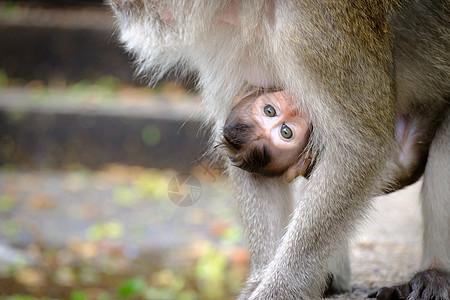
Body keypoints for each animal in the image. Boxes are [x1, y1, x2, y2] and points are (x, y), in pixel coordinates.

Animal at [110, 1, 450, 298]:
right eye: (282, 128)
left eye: (272, 111)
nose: (292, 111)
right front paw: (262, 278)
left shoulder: (318, 30)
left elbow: (360, 148)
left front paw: (278, 289)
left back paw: (435, 275)